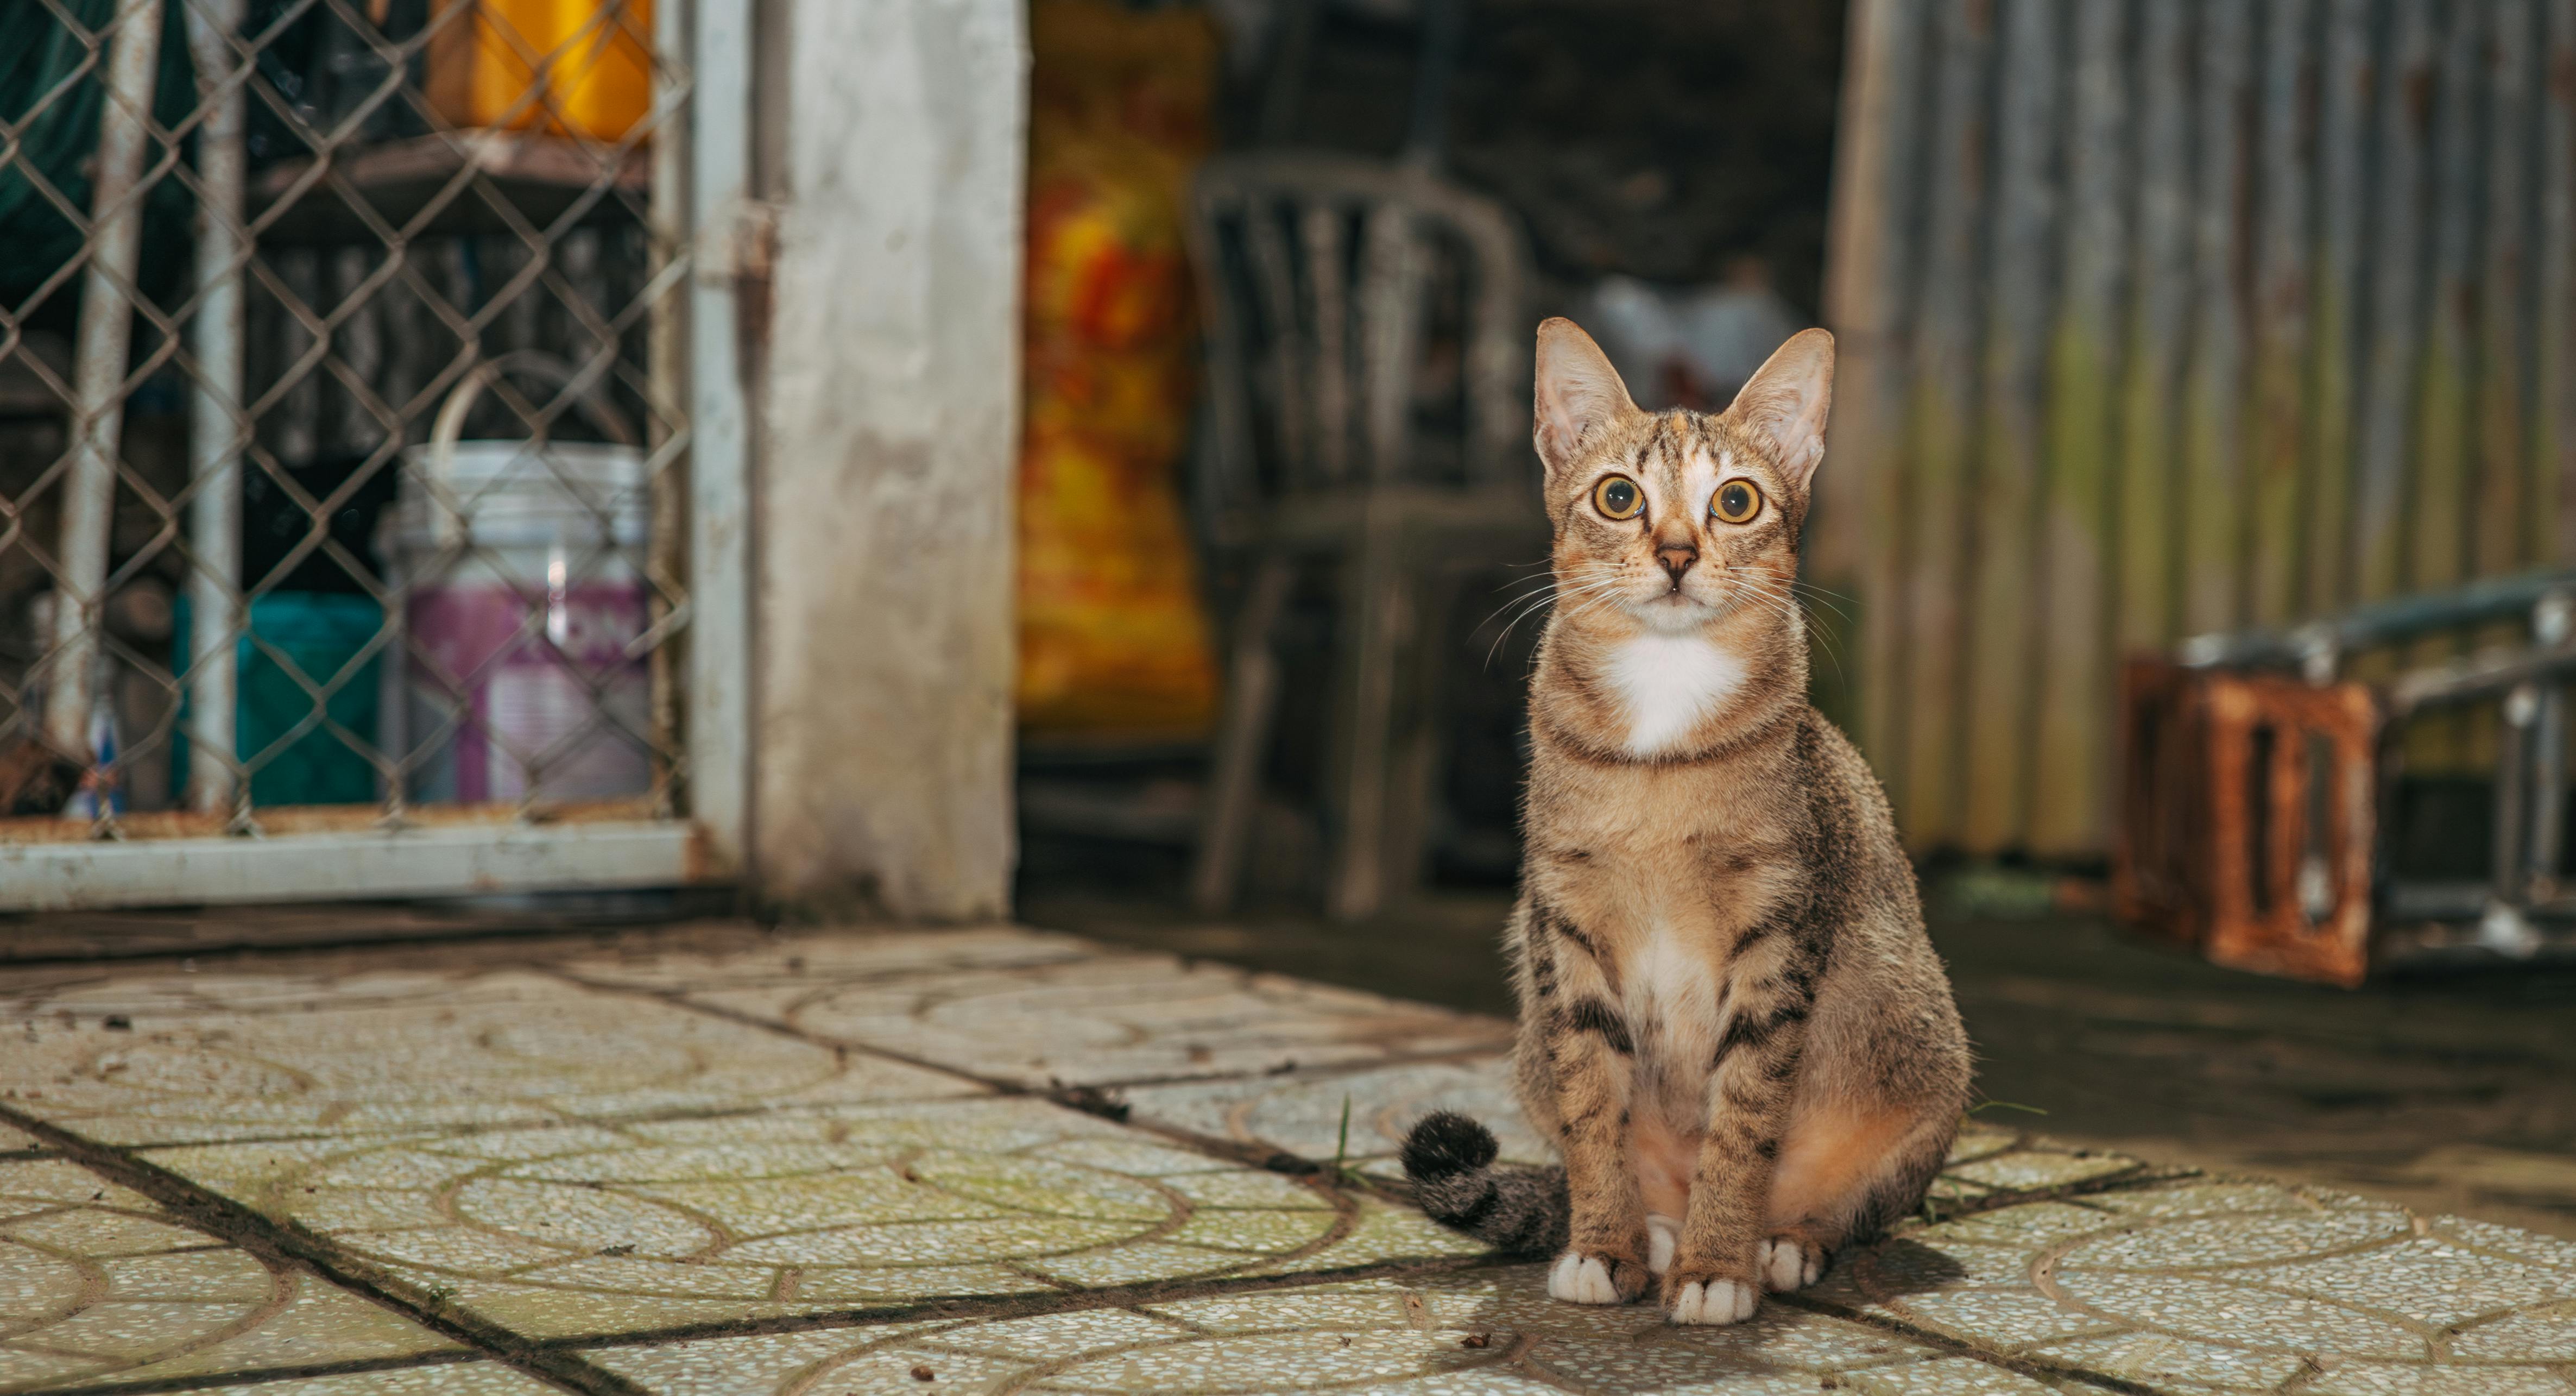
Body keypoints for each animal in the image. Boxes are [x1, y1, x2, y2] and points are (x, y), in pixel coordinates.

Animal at [1401, 320, 1958, 1339]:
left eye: (1735, 500)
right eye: (1618, 495)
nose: (1673, 553)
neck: (1662, 721)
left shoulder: (1778, 937)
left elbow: (1743, 1119)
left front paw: (1716, 1262)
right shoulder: (1565, 931)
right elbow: (1593, 1106)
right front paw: (1605, 1243)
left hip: (1925, 1066)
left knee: (1857, 1205)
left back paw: (1785, 1240)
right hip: (1529, 1038)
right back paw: (1653, 1230)